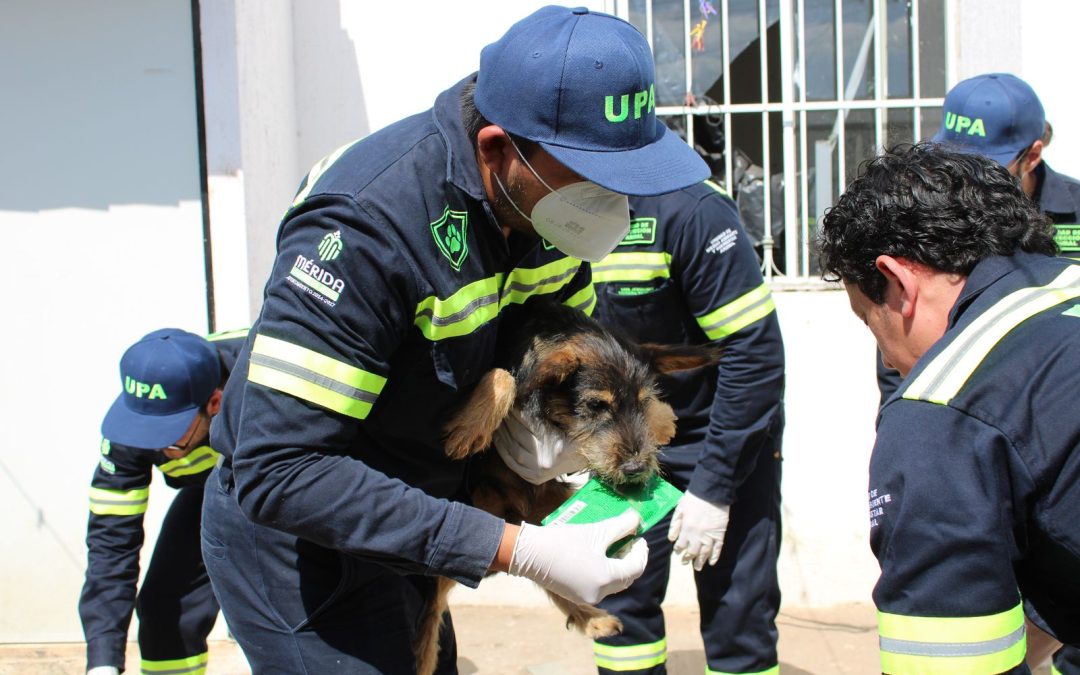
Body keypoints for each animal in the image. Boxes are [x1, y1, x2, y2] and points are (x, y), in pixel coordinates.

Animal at [416, 300, 721, 673]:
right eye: (596, 405)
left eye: (643, 400)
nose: (636, 468)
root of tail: (512, 514)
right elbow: (505, 375)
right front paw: (470, 427)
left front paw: (661, 422)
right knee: (432, 612)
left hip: (548, 513)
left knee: (546, 570)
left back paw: (591, 617)